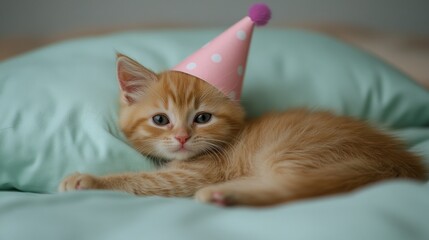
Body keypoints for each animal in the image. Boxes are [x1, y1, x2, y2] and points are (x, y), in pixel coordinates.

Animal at [58, 54, 426, 206]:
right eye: (161, 120)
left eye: (202, 118)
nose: (182, 137)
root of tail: (397, 164)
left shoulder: (197, 173)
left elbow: (143, 182)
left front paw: (89, 180)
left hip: (288, 154)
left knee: (296, 191)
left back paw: (226, 194)